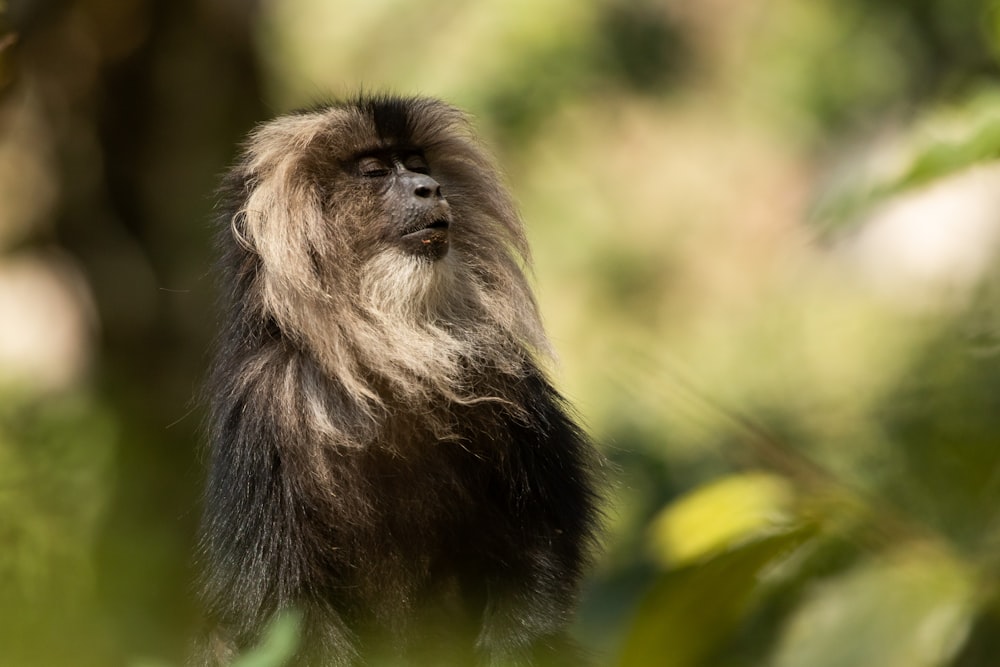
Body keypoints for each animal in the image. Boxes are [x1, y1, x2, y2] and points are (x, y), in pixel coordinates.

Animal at [199, 95, 596, 667]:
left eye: (417, 163)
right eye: (375, 171)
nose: (429, 188)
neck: (380, 359)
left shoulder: (503, 375)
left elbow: (541, 535)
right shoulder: (265, 401)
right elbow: (280, 604)